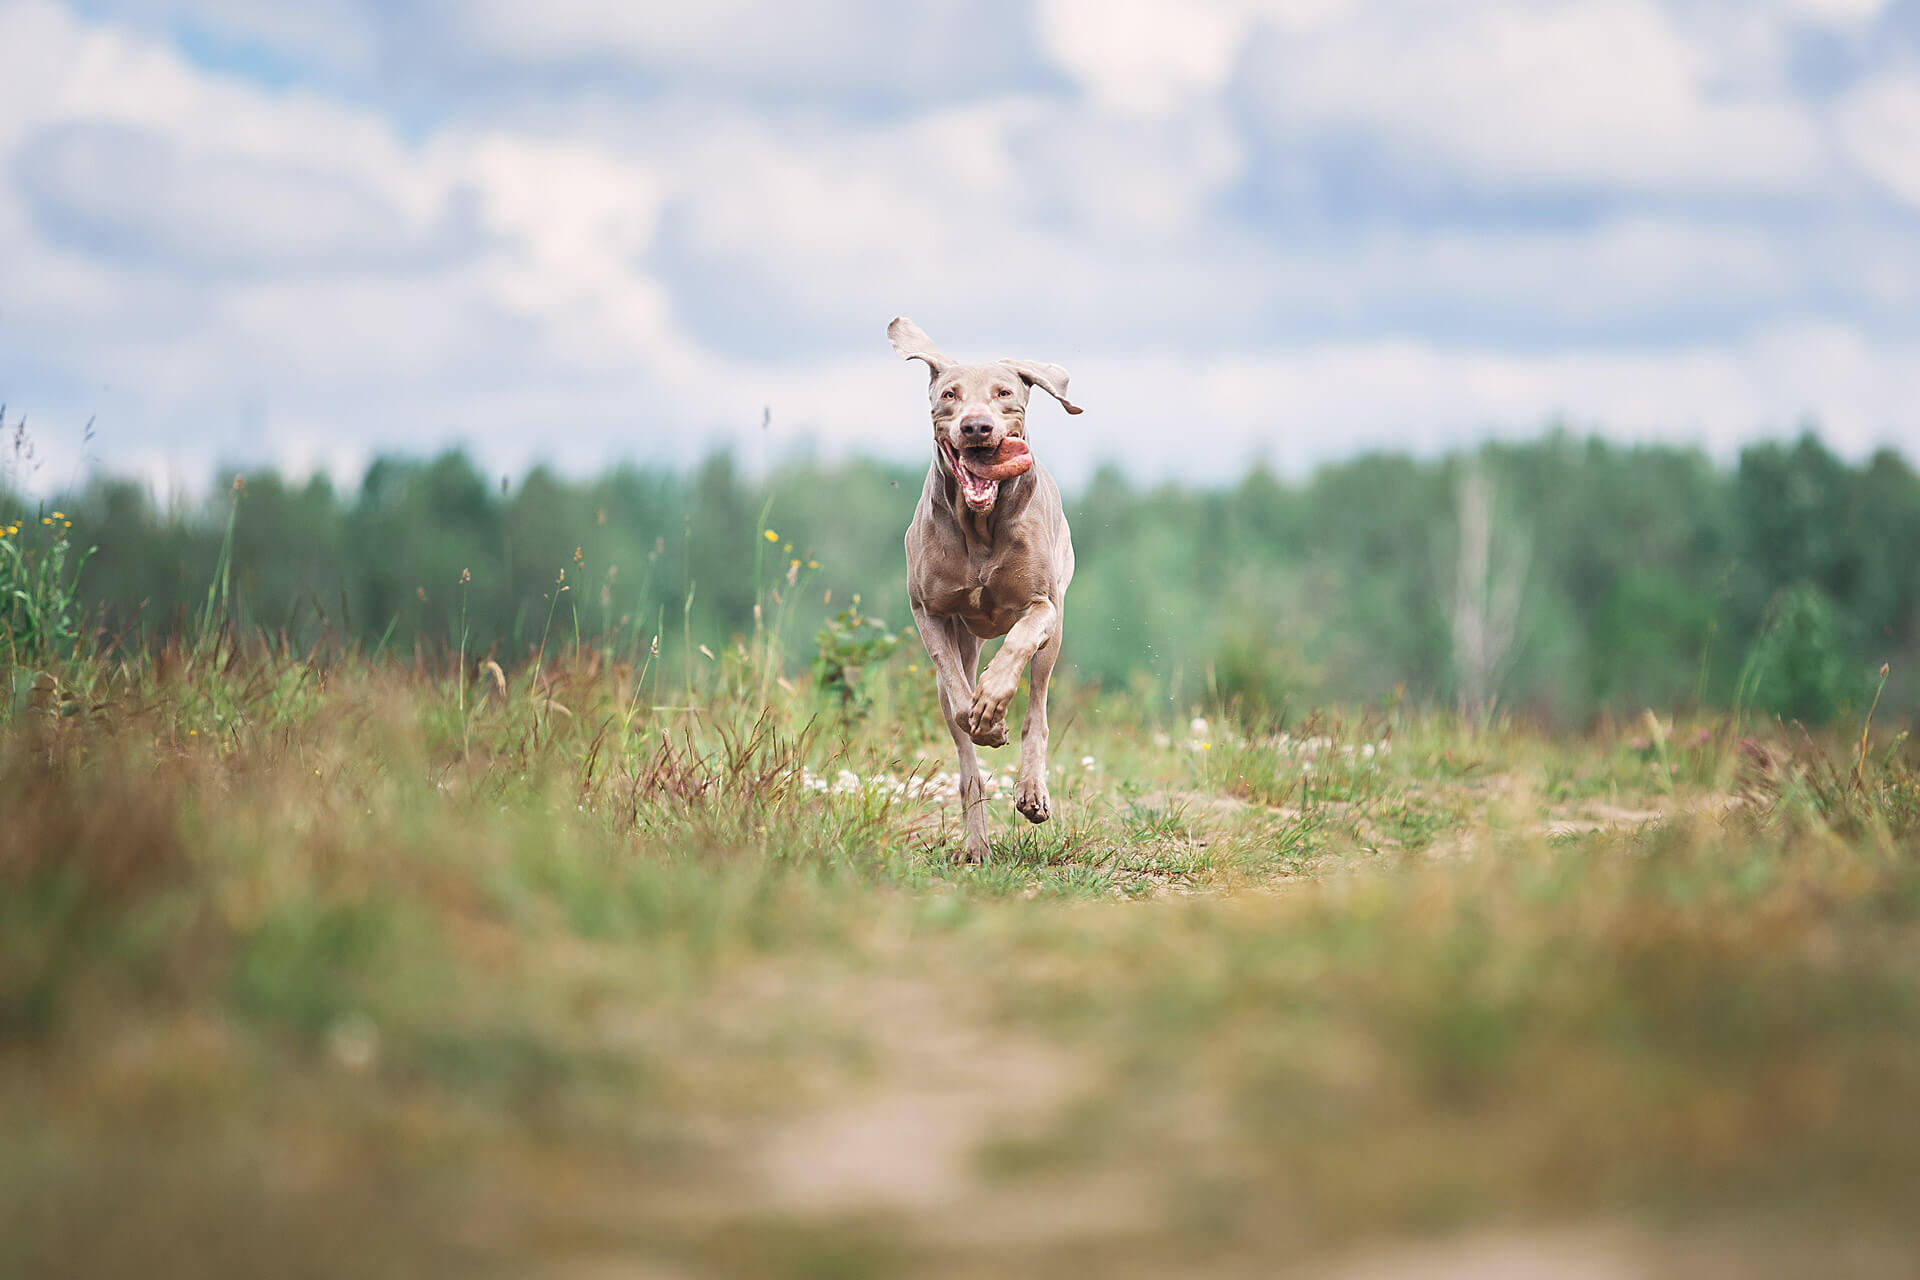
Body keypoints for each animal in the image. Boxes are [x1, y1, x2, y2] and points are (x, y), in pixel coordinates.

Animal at [887, 314, 1082, 867]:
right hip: (963, 640)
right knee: (966, 760)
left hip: (1054, 637)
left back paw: (1032, 791)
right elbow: (958, 694)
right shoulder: (928, 611)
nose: (977, 426)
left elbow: (1018, 644)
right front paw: (985, 722)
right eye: (949, 395)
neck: (981, 526)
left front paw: (994, 702)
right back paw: (976, 843)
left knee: (1037, 708)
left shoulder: (1043, 606)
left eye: (1004, 393)